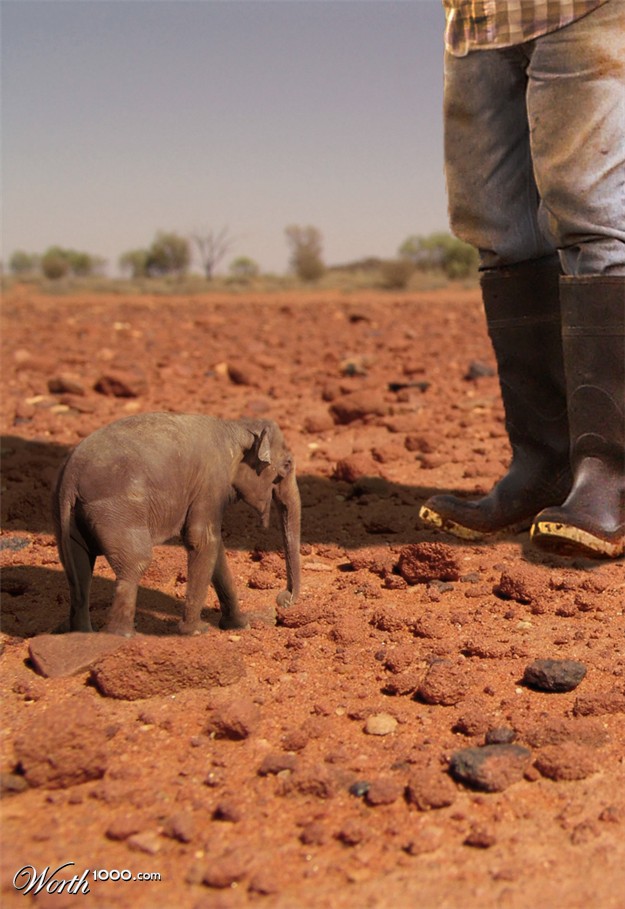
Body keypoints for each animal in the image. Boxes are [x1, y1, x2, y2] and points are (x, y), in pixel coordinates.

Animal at [52, 412, 301, 636]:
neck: (236, 427)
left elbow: (215, 548)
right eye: (288, 464)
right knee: (135, 562)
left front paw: (239, 625)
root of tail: (70, 475)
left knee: (79, 569)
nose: (283, 599)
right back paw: (121, 635)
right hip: (117, 513)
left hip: (68, 518)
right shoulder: (210, 482)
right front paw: (195, 631)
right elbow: (201, 539)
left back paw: (82, 633)